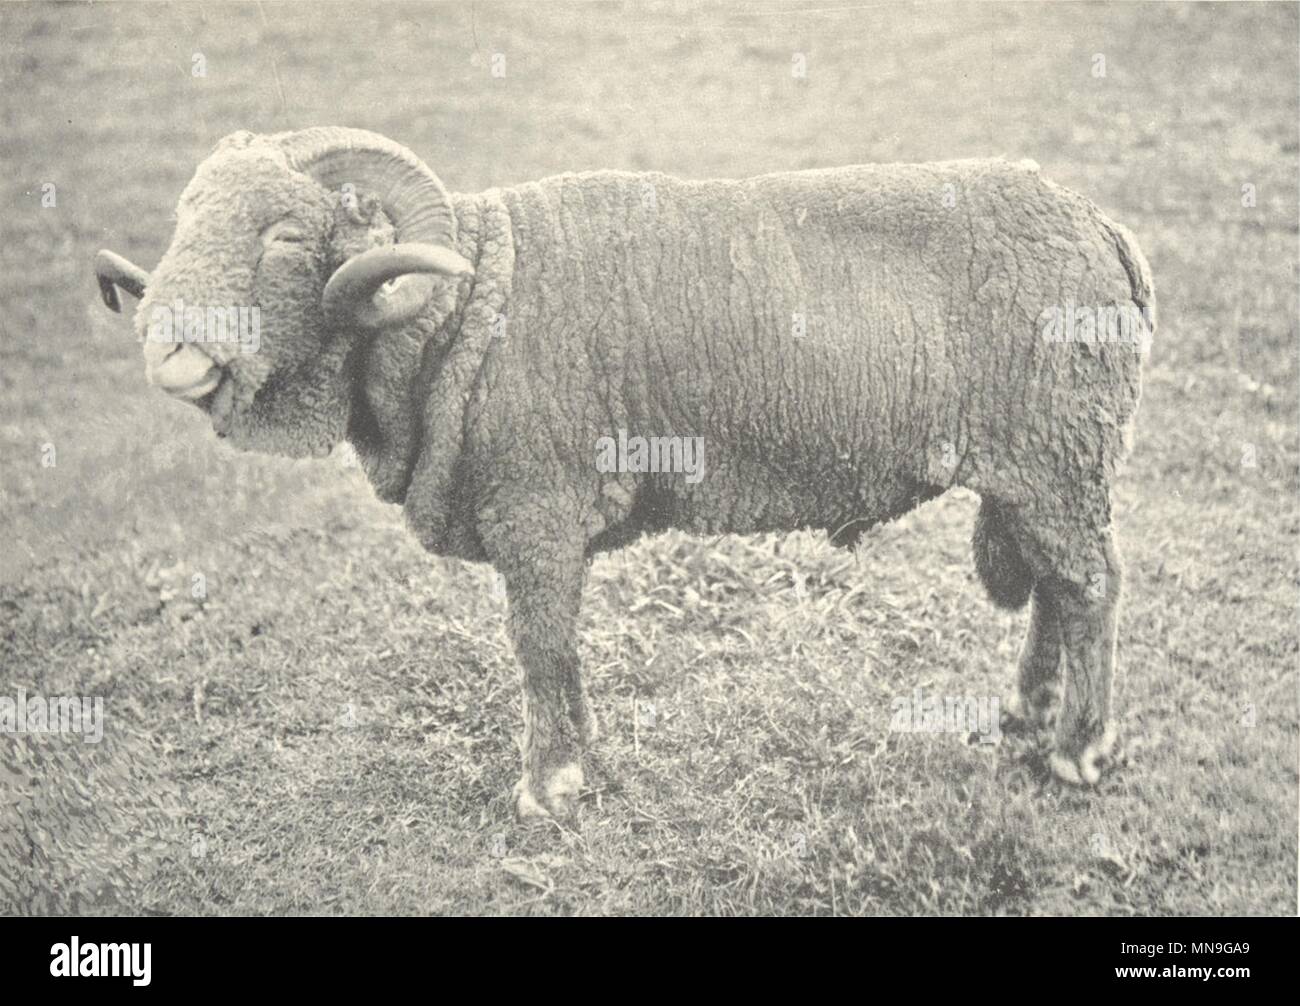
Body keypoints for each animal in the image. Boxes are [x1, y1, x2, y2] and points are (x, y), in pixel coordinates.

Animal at [95, 127, 1155, 818]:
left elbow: (539, 647)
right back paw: (1027, 714)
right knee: (1058, 586)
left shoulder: (535, 512)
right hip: (1041, 469)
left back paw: (1078, 750)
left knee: (1093, 586)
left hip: (1058, 453)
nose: (167, 349)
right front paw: (575, 767)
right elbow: (557, 650)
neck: (460, 312)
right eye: (188, 217)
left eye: (281, 235)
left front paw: (547, 788)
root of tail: (1104, 229)